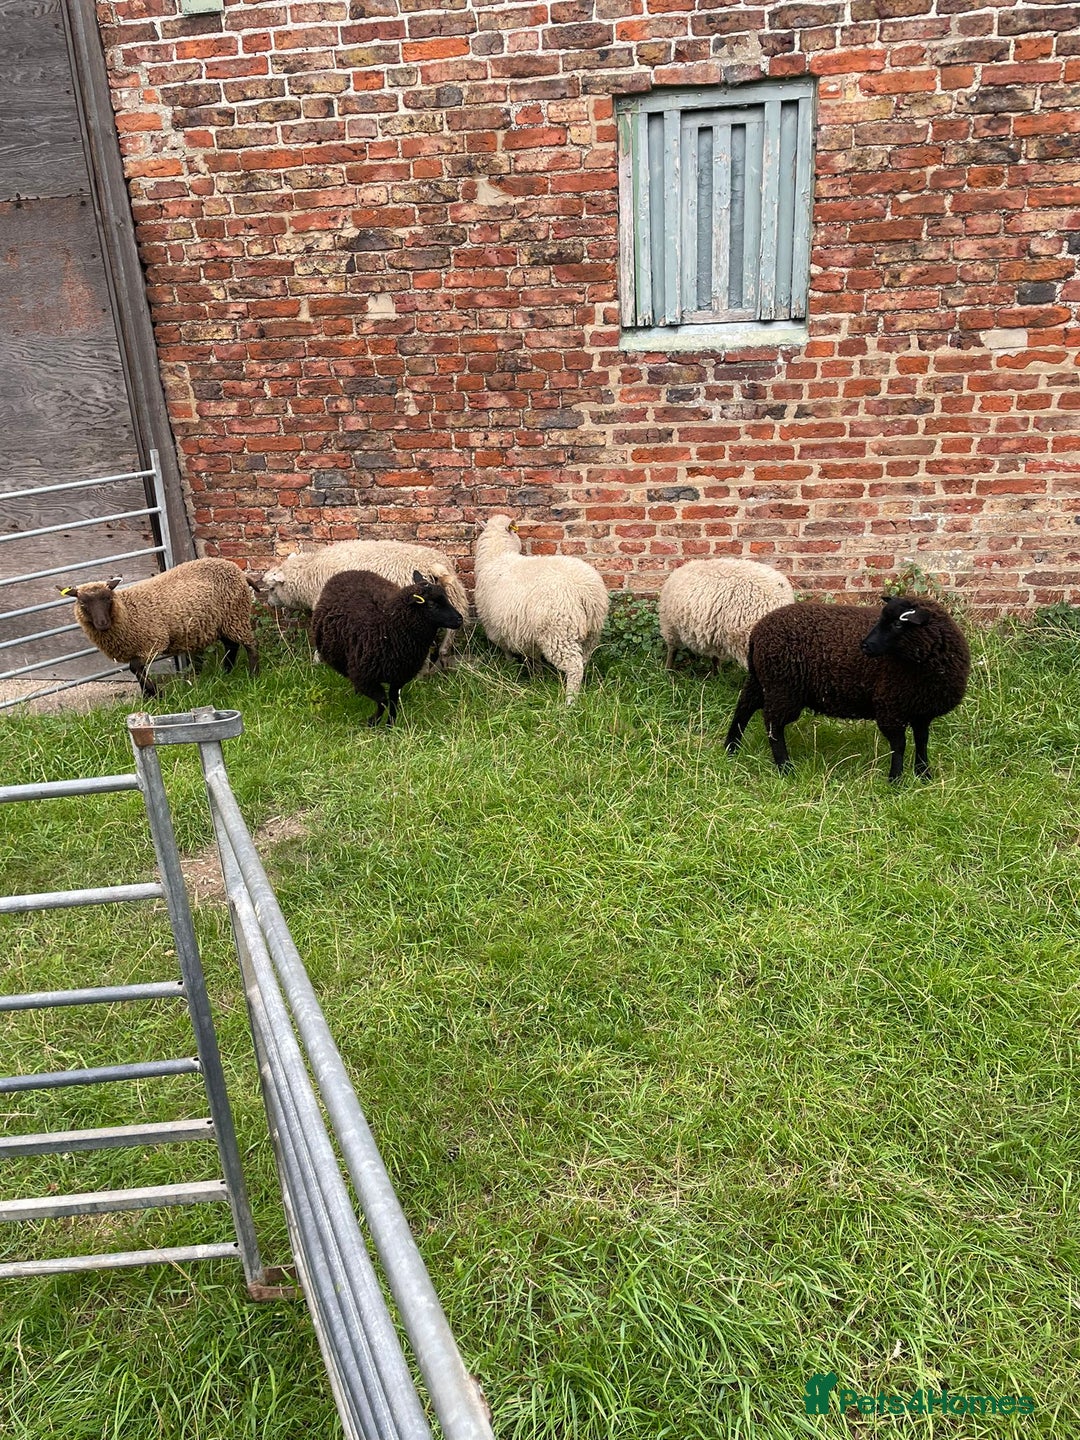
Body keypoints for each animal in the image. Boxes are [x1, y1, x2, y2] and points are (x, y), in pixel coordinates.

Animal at [59, 558, 258, 698]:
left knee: (250, 645)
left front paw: (156, 693)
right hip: (221, 622)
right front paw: (148, 697)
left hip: (236, 615)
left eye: (108, 598)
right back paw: (226, 671)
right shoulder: (135, 648)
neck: (127, 611)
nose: (102, 623)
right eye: (83, 603)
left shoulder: (153, 642)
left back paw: (253, 674)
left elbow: (135, 667)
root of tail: (238, 571)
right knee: (231, 645)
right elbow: (138, 671)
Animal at [256, 540, 468, 671]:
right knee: (452, 629)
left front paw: (319, 659)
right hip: (452, 596)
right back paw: (441, 658)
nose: (269, 603)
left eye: (272, 588)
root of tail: (433, 564)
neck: (310, 573)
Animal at [311, 568, 463, 726]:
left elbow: (393, 701)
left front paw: (391, 725)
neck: (389, 627)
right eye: (432, 604)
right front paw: (373, 722)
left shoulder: (398, 676)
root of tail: (349, 571)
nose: (460, 619)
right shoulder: (365, 678)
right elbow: (383, 701)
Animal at [473, 514, 609, 704]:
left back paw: (570, 700)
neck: (497, 555)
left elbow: (505, 649)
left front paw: (510, 665)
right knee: (584, 659)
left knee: (574, 667)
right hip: (592, 631)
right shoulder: (528, 632)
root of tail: (585, 591)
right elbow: (534, 655)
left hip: (558, 633)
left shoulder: (494, 626)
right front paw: (537, 675)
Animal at [724, 594, 971, 781]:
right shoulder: (890, 706)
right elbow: (899, 745)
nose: (865, 645)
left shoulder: (922, 710)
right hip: (782, 688)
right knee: (773, 725)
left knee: (744, 707)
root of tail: (757, 631)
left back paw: (731, 749)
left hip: (762, 681)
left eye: (898, 623)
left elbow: (922, 741)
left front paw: (923, 775)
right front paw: (896, 780)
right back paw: (785, 767)